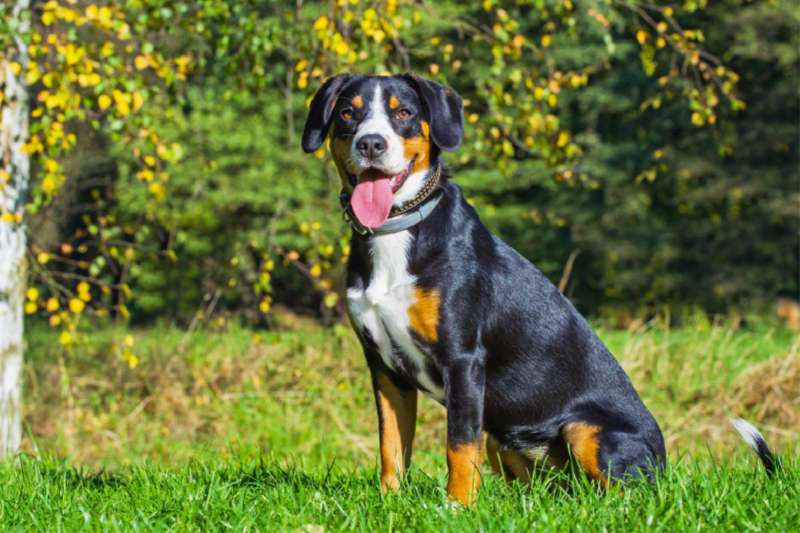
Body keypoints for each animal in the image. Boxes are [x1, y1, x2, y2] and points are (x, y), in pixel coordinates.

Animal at [302, 72, 776, 504]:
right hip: (501, 438)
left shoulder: (463, 361)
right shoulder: (385, 367)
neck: (395, 234)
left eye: (403, 113)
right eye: (348, 113)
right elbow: (392, 446)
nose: (371, 144)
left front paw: (457, 508)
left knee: (627, 497)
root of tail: (663, 464)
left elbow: (458, 447)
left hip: (586, 430)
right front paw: (391, 503)